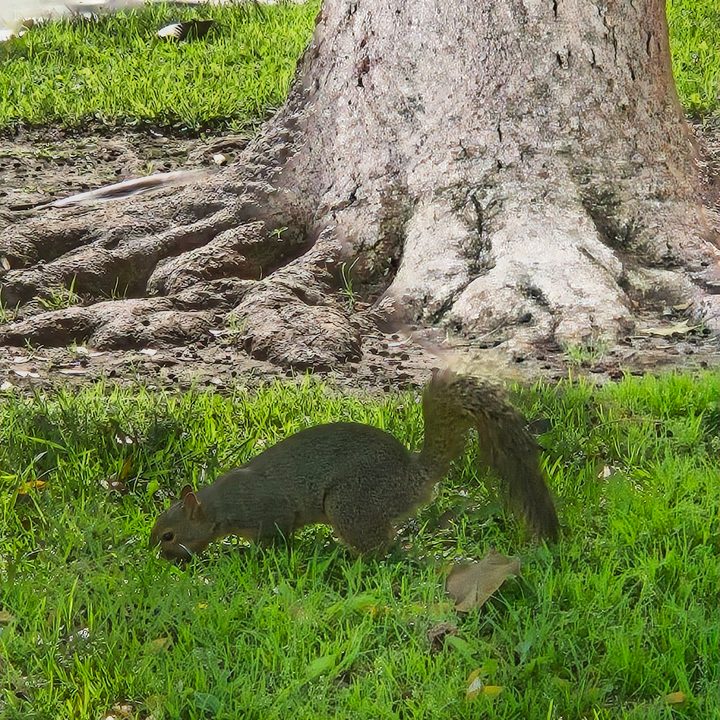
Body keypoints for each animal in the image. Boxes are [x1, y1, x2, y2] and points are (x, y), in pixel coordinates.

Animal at [150, 369, 559, 561]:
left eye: (169, 536)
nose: (163, 558)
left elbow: (274, 539)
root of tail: (413, 477)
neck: (222, 504)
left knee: (382, 545)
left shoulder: (269, 512)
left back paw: (350, 557)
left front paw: (250, 555)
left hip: (349, 502)